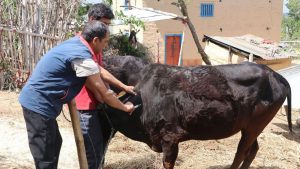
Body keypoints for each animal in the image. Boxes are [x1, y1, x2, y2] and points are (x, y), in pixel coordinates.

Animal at [102, 57, 292, 168]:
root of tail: (274, 74)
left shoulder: (170, 138)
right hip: (250, 128)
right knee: (252, 150)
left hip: (253, 127)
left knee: (241, 152)